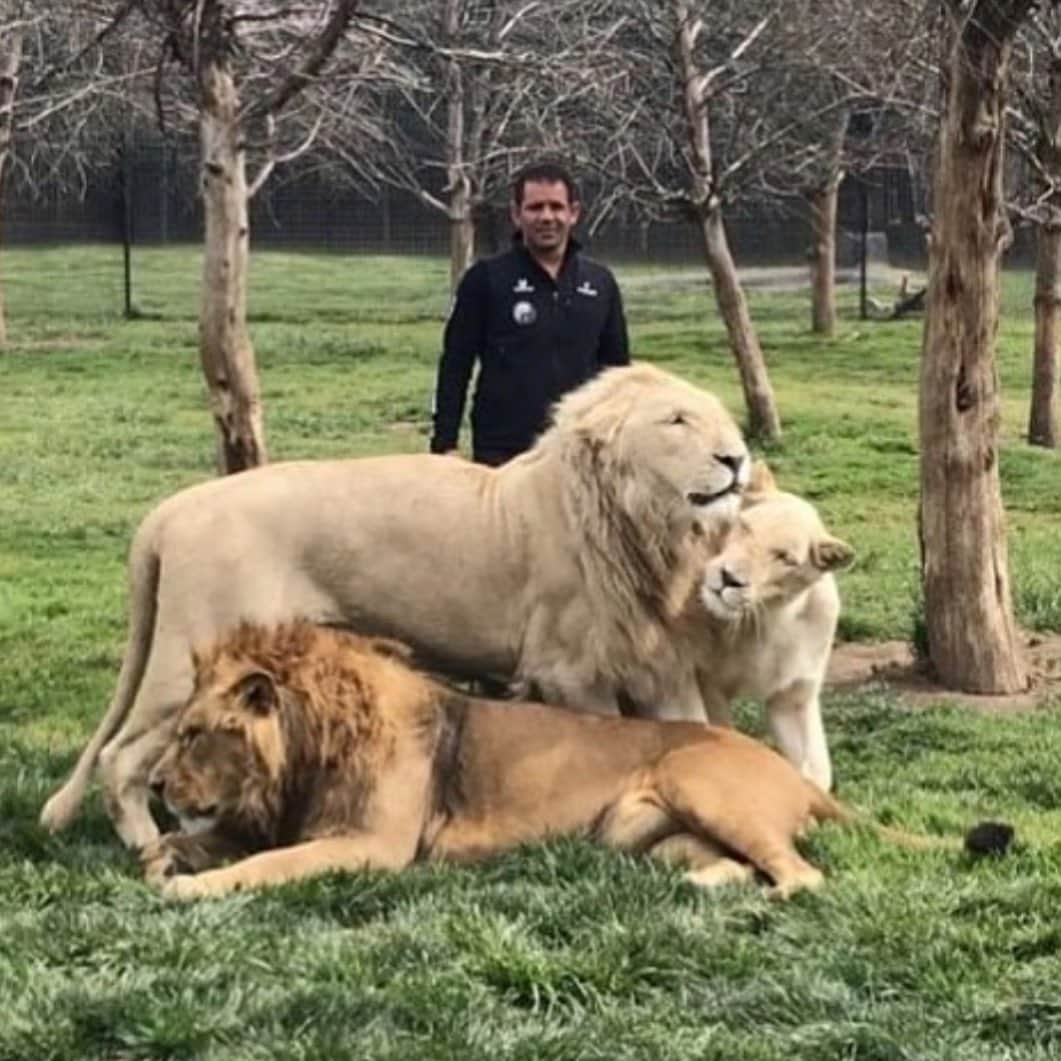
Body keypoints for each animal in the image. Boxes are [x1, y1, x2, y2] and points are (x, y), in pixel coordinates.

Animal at [41, 362, 751, 844]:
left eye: (716, 416)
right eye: (676, 421)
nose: (738, 458)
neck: (642, 527)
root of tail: (167, 513)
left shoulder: (656, 662)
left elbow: (700, 731)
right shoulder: (569, 670)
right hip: (187, 658)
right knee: (118, 757)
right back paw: (149, 845)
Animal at [143, 619, 1010, 899]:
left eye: (193, 732)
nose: (152, 786)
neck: (308, 750)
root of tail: (790, 772)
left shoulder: (371, 845)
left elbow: (264, 865)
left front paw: (190, 888)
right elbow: (205, 841)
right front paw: (164, 854)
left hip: (695, 781)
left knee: (801, 874)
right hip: (646, 831)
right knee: (737, 865)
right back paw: (695, 889)